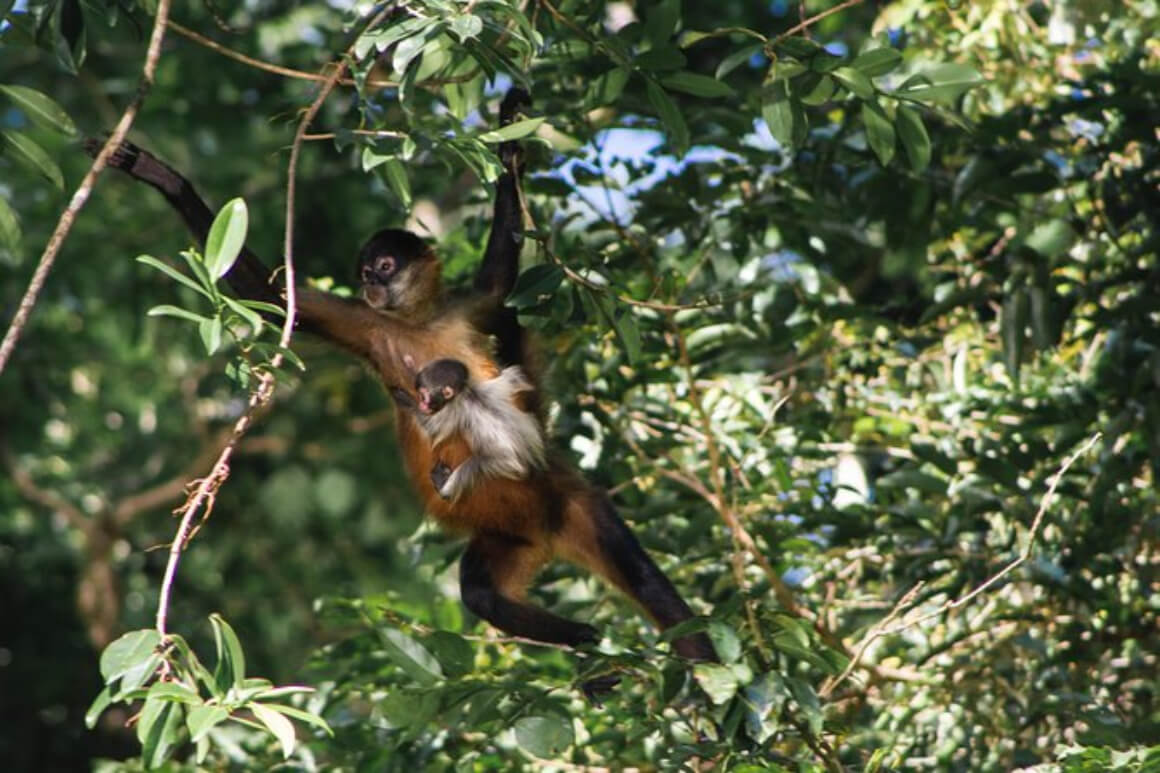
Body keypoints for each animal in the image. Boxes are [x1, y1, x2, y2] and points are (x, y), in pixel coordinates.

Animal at [95, 88, 714, 654]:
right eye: (365, 271)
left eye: (386, 265)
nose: (372, 281)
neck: (417, 322)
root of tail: (546, 531)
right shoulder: (367, 324)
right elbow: (270, 299)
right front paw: (164, 178)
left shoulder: (466, 308)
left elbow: (500, 276)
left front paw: (509, 132)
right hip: (505, 537)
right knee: (482, 594)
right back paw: (582, 640)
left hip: (573, 501)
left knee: (644, 581)